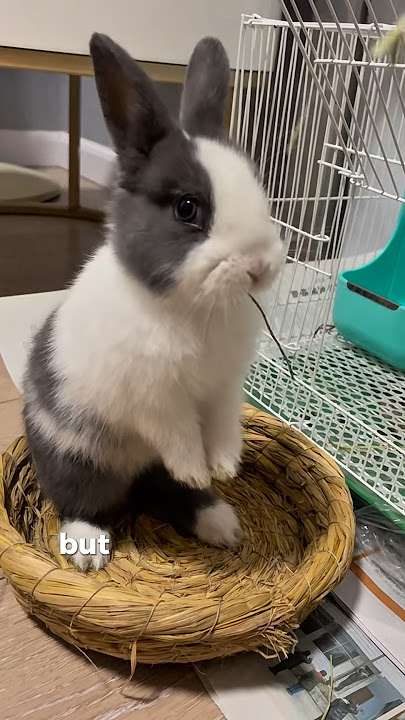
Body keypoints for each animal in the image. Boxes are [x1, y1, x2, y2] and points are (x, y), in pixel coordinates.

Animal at [22, 33, 283, 571]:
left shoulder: (225, 388)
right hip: (76, 457)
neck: (199, 307)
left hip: (142, 468)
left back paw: (221, 521)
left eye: (259, 189)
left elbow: (223, 425)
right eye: (187, 208)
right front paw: (199, 468)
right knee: (81, 501)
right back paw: (90, 551)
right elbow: (180, 433)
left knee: (166, 493)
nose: (260, 266)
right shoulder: (155, 398)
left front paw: (225, 466)